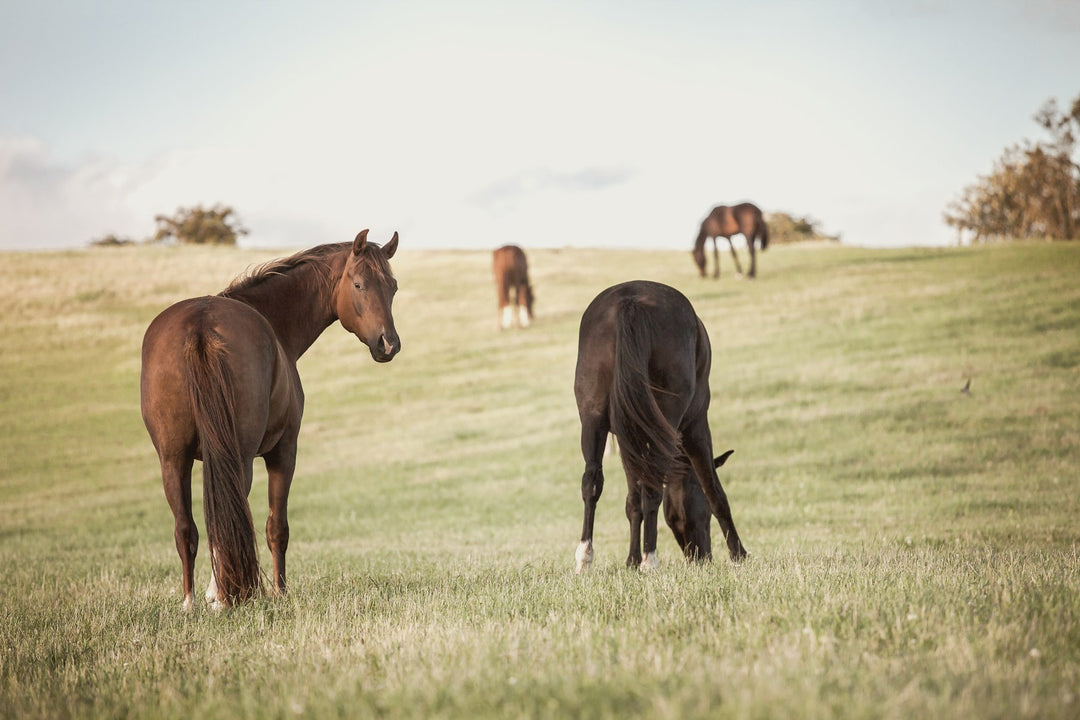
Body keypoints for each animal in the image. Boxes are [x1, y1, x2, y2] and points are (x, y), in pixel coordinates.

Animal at [140, 230, 401, 609]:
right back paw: (223, 597)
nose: (388, 344)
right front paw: (278, 591)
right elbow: (277, 528)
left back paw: (191, 602)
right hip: (240, 456)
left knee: (186, 527)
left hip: (173, 459)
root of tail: (200, 326)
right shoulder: (284, 451)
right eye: (358, 284)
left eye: (393, 287)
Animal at [573, 280, 747, 572]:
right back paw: (650, 559)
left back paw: (585, 557)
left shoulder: (628, 440)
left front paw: (631, 560)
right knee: (653, 488)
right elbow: (714, 490)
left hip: (593, 419)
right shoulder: (696, 427)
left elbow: (633, 500)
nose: (702, 556)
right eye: (703, 513)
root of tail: (630, 301)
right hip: (670, 420)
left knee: (592, 482)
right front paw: (739, 554)